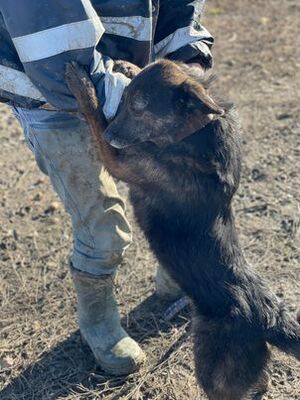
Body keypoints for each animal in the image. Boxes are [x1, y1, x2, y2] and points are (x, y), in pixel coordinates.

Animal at [66, 60, 300, 400]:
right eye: (124, 100)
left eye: (137, 108)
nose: (111, 134)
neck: (197, 130)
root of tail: (268, 316)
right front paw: (130, 65)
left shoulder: (120, 161)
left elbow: (94, 116)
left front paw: (81, 85)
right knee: (260, 382)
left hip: (213, 367)